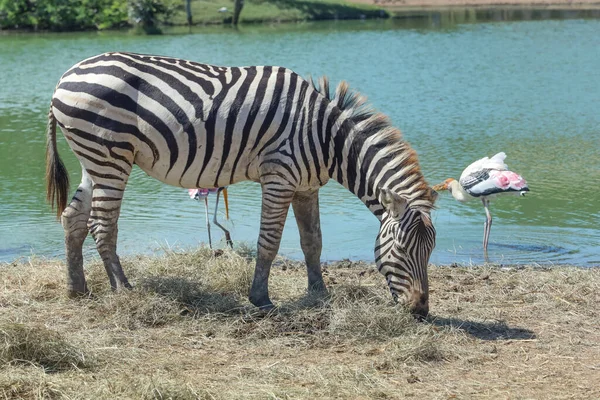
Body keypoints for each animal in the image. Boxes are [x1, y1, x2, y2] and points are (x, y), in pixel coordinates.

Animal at [47, 52, 438, 316]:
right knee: (102, 224)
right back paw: (124, 290)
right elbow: (270, 242)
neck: (327, 139)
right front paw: (261, 299)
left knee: (73, 218)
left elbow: (313, 242)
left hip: (92, 160)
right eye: (401, 250)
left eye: (430, 251)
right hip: (110, 156)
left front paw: (319, 294)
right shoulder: (279, 176)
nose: (420, 310)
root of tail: (65, 76)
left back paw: (77, 289)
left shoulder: (307, 186)